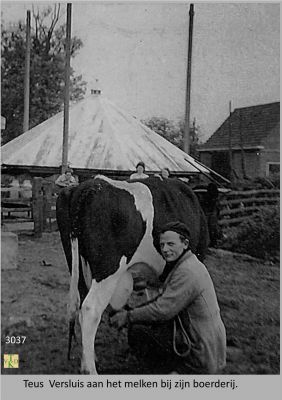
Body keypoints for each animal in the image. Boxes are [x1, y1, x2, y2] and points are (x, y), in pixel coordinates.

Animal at [56, 175, 209, 376]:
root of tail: (89, 186)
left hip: (78, 268)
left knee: (81, 306)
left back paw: (88, 359)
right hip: (108, 269)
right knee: (90, 310)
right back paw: (90, 370)